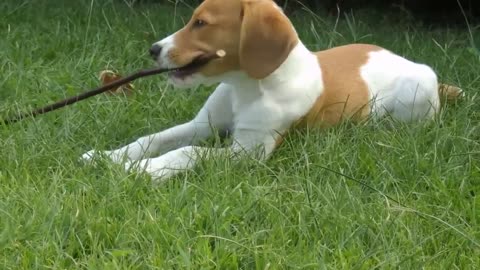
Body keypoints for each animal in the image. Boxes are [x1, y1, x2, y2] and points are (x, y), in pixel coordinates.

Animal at [82, 0, 462, 181]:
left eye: (201, 23)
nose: (154, 50)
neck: (246, 86)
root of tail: (420, 67)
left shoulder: (248, 152)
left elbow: (187, 152)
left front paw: (146, 170)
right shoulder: (201, 125)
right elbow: (153, 139)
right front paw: (109, 157)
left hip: (409, 102)